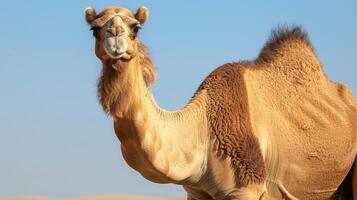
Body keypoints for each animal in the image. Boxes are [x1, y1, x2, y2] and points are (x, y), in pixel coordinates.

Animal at [84, 5, 356, 199]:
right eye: (94, 28)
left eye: (136, 27)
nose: (115, 36)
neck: (200, 129)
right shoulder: (196, 192)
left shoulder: (247, 188)